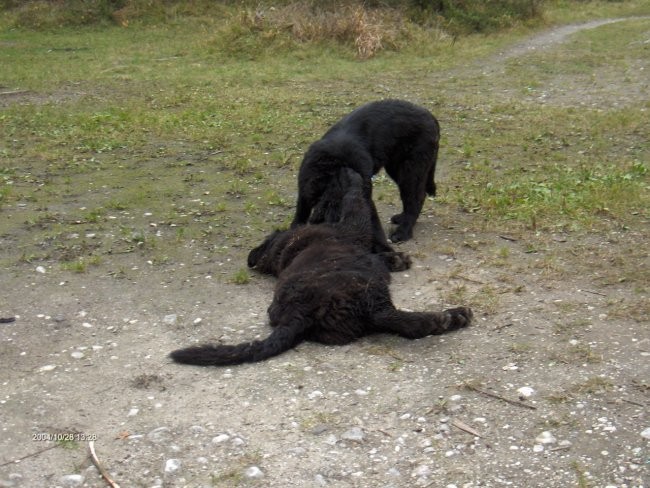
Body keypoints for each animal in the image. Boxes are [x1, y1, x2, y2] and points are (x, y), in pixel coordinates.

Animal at [170, 170, 468, 364]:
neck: (283, 247)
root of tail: (298, 315)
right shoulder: (353, 226)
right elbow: (354, 200)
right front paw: (349, 177)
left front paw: (397, 259)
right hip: (367, 292)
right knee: (400, 321)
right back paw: (450, 316)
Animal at [290, 98, 438, 248]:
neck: (332, 169)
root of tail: (431, 117)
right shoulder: (304, 191)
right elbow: (300, 214)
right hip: (397, 169)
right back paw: (401, 218)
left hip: (410, 170)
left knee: (415, 198)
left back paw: (403, 232)